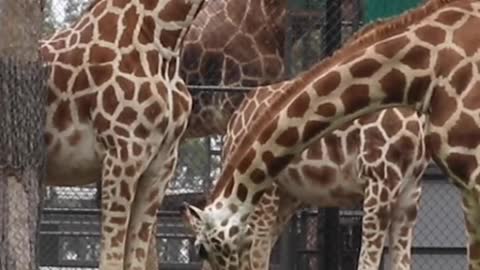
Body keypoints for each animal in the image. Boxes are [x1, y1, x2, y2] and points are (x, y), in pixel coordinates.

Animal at [182, 0, 480, 268]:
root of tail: (236, 122)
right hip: (276, 194)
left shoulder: (408, 189)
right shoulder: (383, 181)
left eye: (201, 249)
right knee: (260, 251)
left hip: (283, 196)